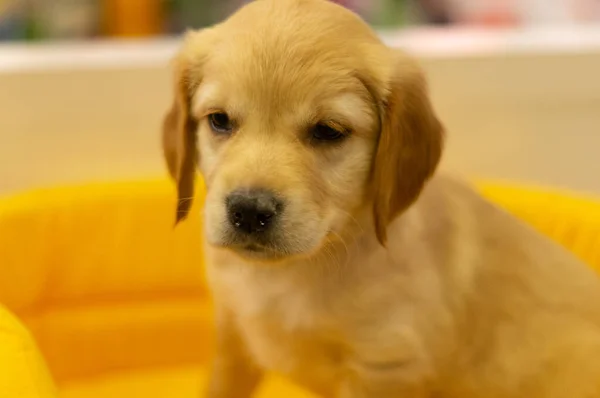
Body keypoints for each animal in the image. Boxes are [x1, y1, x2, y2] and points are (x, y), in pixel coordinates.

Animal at [162, 1, 600, 396]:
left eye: (328, 131)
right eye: (219, 120)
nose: (249, 211)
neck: (296, 270)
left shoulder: (386, 366)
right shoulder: (232, 337)